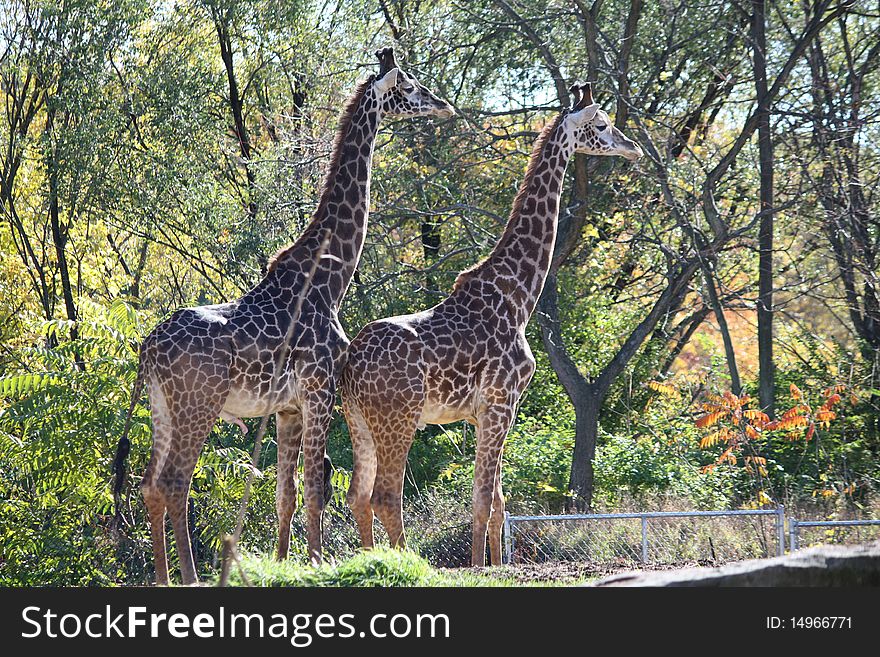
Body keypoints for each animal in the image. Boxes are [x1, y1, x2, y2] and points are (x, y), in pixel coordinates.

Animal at [111, 50, 454, 584]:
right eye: (412, 87)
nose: (445, 106)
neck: (330, 277)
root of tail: (146, 348)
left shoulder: (289, 407)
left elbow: (286, 493)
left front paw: (284, 563)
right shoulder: (319, 391)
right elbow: (315, 488)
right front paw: (316, 564)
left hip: (161, 407)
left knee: (149, 484)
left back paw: (165, 578)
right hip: (197, 406)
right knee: (173, 483)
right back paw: (189, 577)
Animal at [340, 82, 644, 564]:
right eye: (600, 125)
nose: (632, 147)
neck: (518, 296)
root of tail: (349, 366)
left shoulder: (489, 410)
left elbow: (500, 501)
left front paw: (498, 564)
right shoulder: (501, 401)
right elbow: (483, 498)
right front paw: (479, 568)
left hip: (358, 420)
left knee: (357, 495)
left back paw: (373, 559)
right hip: (399, 418)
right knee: (385, 496)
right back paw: (406, 562)